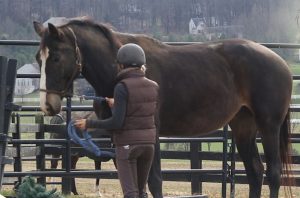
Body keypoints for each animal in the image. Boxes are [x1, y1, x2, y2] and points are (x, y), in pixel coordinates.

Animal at [33, 17, 292, 197]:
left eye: (56, 57)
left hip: (269, 126)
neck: (129, 71)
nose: (47, 104)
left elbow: (154, 179)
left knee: (273, 174)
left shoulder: (152, 133)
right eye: (38, 58)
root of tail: (279, 61)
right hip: (243, 127)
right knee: (255, 173)